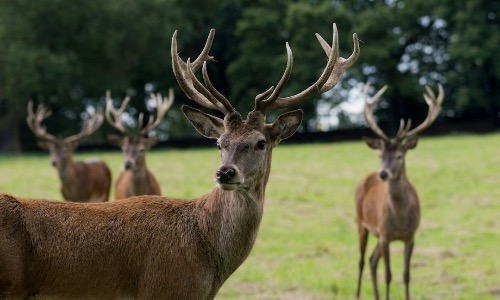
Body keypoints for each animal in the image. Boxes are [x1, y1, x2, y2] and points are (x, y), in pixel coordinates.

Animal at [354, 82, 444, 300]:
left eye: (399, 156)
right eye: (380, 155)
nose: (383, 173)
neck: (401, 219)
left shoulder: (410, 235)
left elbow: (406, 275)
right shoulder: (385, 234)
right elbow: (388, 275)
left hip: (377, 235)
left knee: (372, 260)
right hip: (361, 223)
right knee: (361, 261)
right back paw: (358, 294)